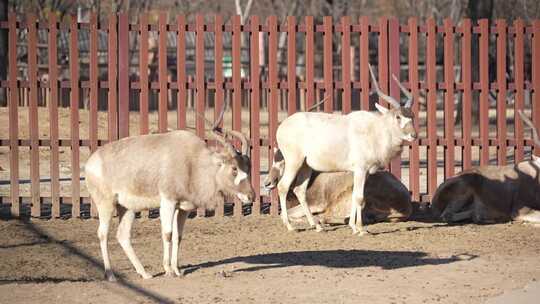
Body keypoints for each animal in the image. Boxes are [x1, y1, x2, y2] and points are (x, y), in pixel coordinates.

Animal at [85, 102, 254, 280]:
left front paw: (177, 270)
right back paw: (110, 275)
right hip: (106, 204)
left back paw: (145, 274)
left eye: (248, 167)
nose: (251, 196)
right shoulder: (168, 202)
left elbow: (177, 236)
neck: (192, 161)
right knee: (102, 234)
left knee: (123, 235)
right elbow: (167, 233)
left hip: (127, 208)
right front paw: (168, 270)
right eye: (234, 168)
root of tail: (91, 162)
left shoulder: (182, 208)